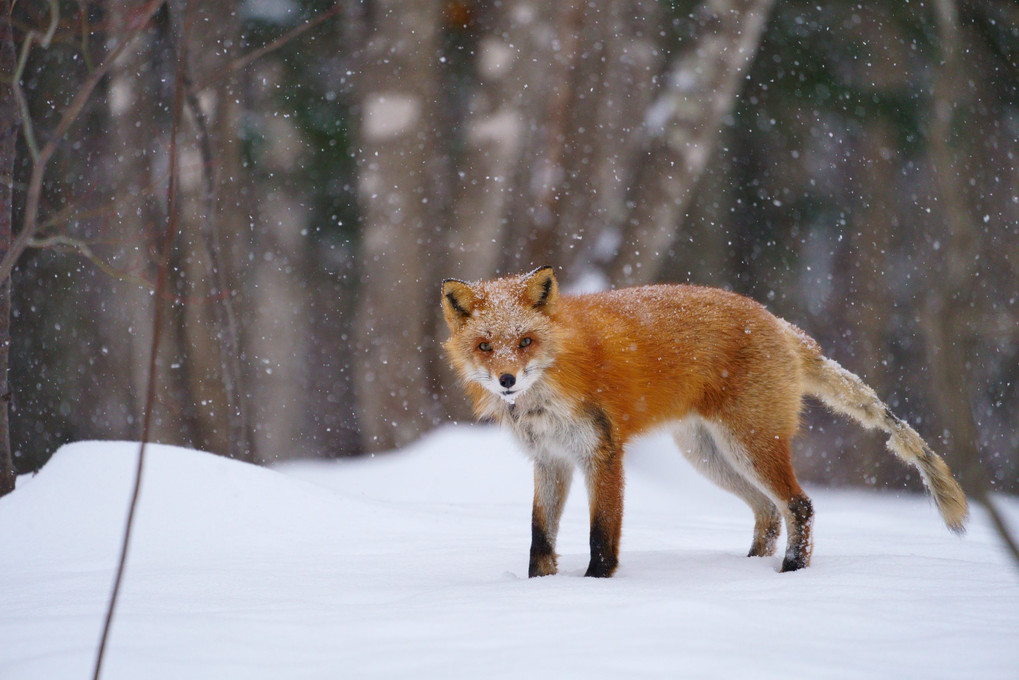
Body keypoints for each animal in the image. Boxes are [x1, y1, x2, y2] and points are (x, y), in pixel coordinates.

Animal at [442, 269, 966, 579]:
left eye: (525, 341)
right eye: (485, 346)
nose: (507, 381)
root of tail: (780, 322)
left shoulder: (602, 454)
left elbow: (601, 537)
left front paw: (595, 588)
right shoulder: (550, 460)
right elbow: (540, 538)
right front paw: (539, 592)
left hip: (750, 445)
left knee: (799, 505)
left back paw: (791, 572)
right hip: (710, 456)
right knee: (768, 512)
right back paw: (745, 569)